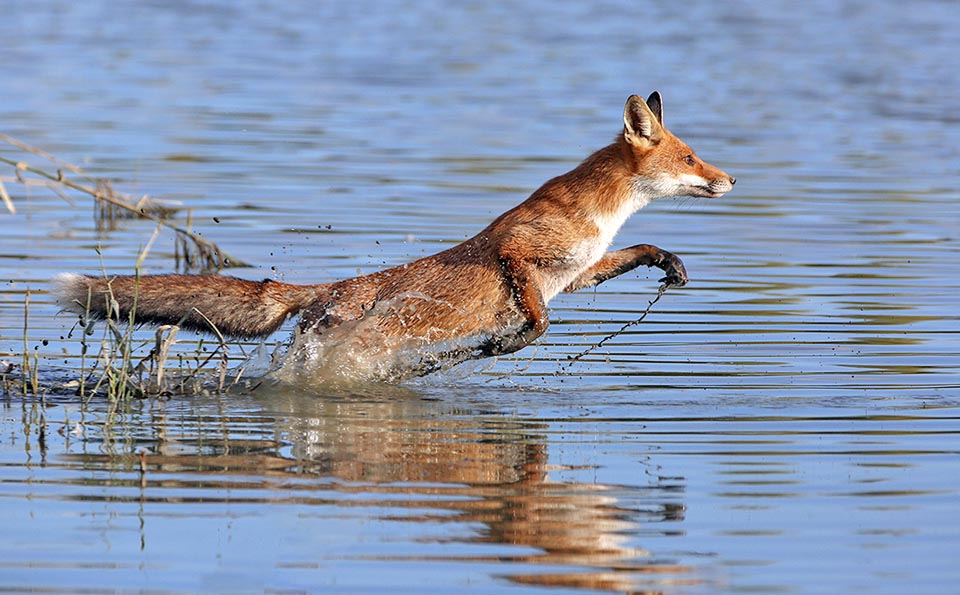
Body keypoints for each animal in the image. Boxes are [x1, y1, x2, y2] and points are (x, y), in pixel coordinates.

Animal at [52, 93, 736, 382]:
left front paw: (668, 261)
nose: (730, 178)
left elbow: (632, 256)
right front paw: (500, 344)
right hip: (344, 344)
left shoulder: (579, 268)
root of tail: (322, 289)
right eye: (691, 157)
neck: (599, 216)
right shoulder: (517, 253)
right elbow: (537, 323)